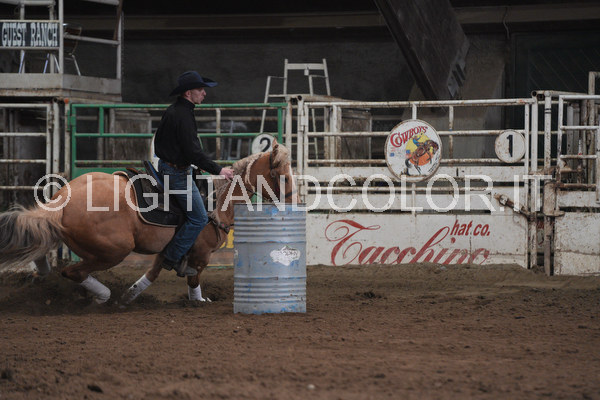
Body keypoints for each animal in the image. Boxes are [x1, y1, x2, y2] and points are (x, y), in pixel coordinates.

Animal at [0, 139, 299, 305]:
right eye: (283, 177)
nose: (294, 202)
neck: (216, 202)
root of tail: (62, 200)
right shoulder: (200, 254)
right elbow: (194, 278)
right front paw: (198, 301)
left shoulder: (169, 250)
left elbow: (152, 275)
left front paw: (130, 297)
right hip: (113, 251)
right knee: (73, 272)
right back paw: (102, 297)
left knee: (43, 253)